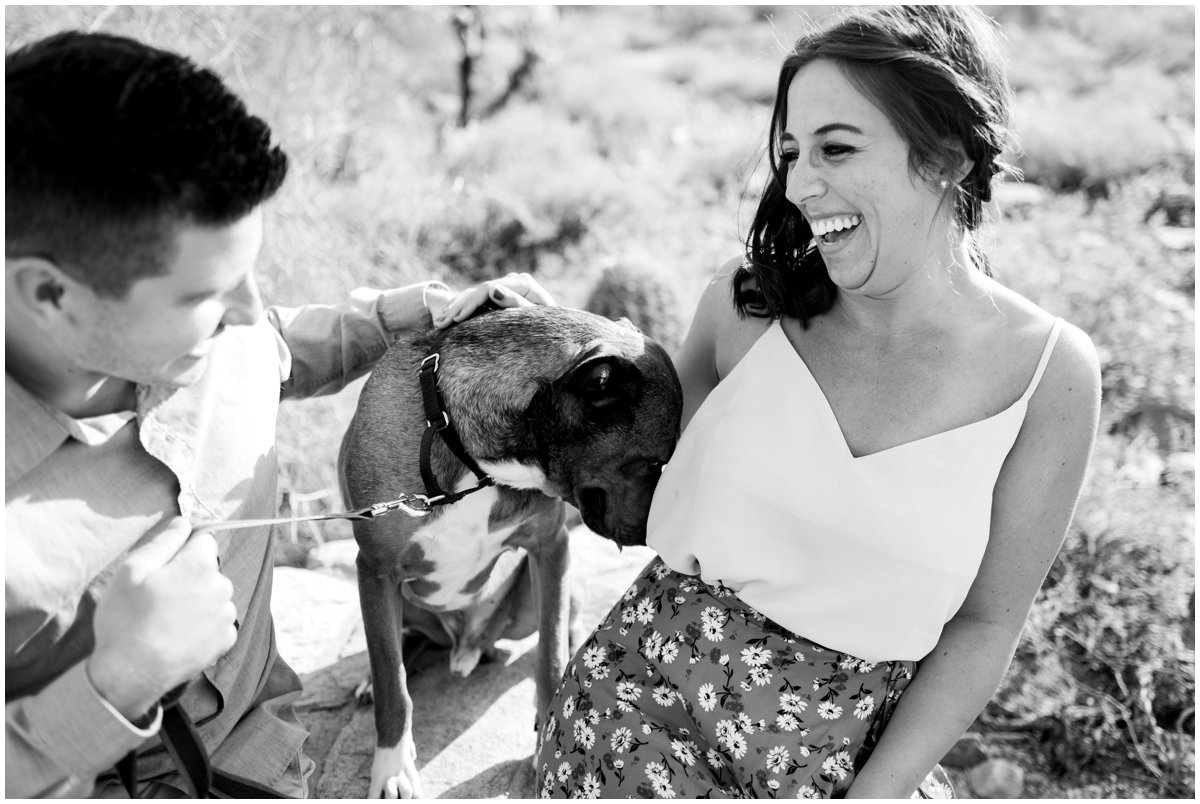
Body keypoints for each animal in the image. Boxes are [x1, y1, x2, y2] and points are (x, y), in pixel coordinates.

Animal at [338, 307, 681, 801]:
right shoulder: (376, 571)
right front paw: (392, 767)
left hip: (532, 602)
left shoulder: (550, 549)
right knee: (397, 644)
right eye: (654, 462)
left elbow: (550, 656)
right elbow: (391, 682)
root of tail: (467, 642)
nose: (652, 534)